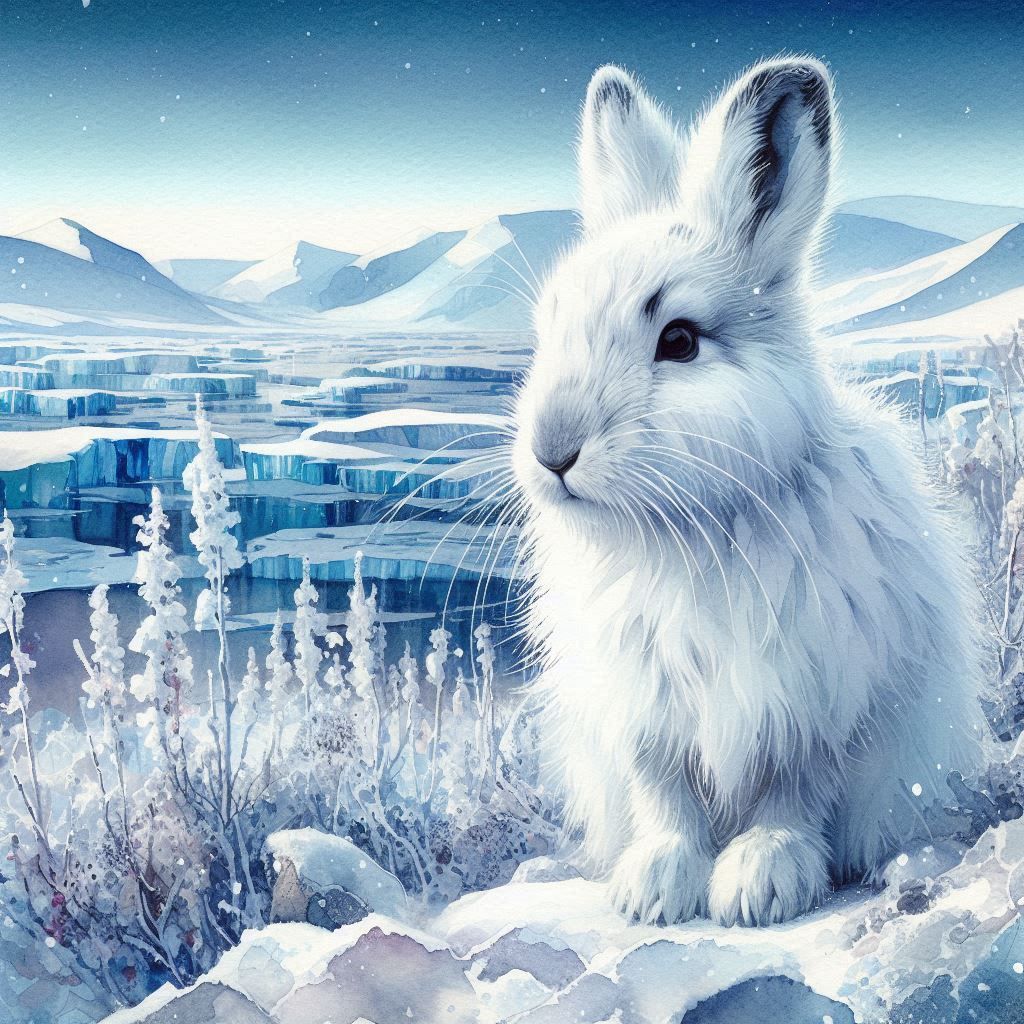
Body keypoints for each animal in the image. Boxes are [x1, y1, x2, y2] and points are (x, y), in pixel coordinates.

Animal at [510, 57, 988, 927]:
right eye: (550, 326)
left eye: (679, 340)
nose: (551, 452)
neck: (690, 525)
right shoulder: (646, 712)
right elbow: (666, 796)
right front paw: (654, 889)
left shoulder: (814, 705)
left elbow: (791, 793)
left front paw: (760, 884)